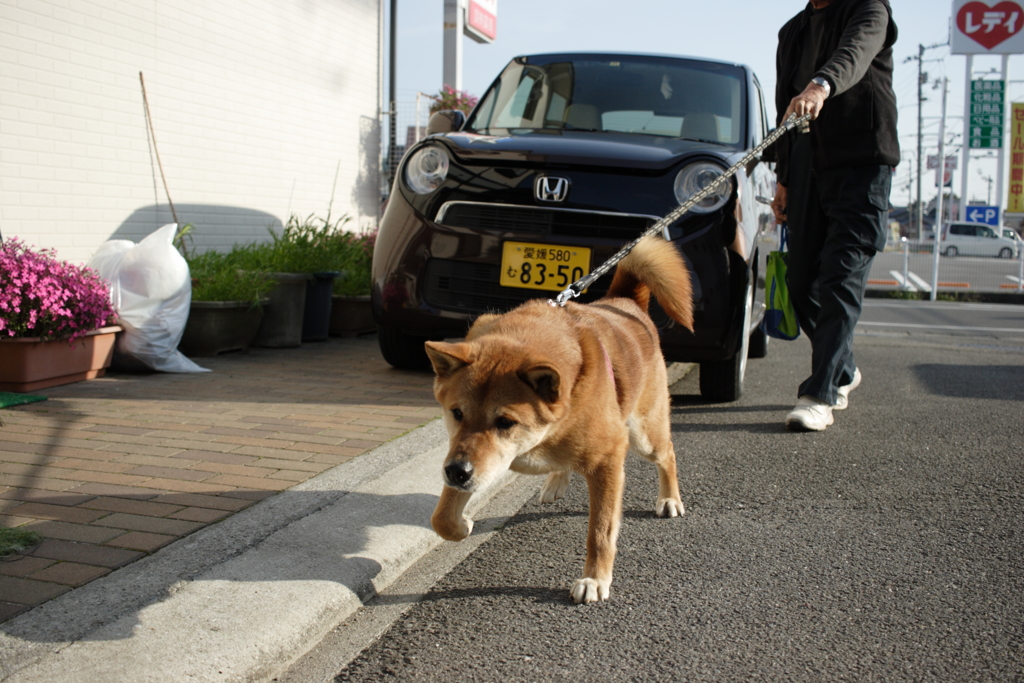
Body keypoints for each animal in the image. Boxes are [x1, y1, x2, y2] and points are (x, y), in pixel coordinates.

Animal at [423, 236, 696, 602]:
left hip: (644, 435)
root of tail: (625, 301)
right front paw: (461, 524)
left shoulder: (608, 460)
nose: (455, 471)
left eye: (505, 422)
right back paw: (556, 479)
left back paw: (669, 499)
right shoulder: (468, 458)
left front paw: (595, 579)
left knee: (668, 454)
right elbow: (441, 517)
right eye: (457, 414)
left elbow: (600, 531)